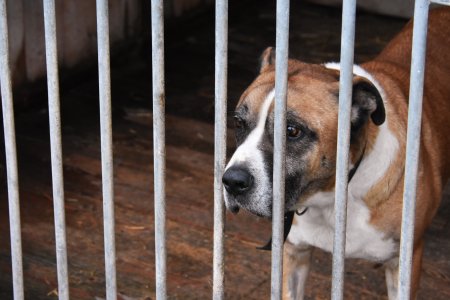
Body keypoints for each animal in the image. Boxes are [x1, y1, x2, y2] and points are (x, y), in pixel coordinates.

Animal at [221, 7, 450, 300]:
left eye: (292, 131)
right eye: (238, 123)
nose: (232, 182)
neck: (331, 197)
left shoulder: (404, 265)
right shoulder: (294, 254)